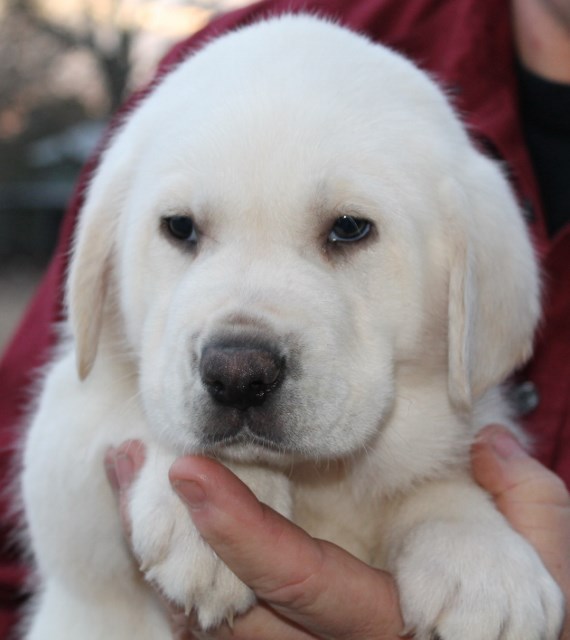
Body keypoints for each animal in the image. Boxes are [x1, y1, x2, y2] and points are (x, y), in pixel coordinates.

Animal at [21, 13, 560, 640]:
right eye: (179, 227)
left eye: (350, 228)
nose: (237, 375)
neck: (319, 481)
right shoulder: (64, 447)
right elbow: (119, 409)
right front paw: (209, 502)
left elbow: (440, 474)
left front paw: (483, 560)